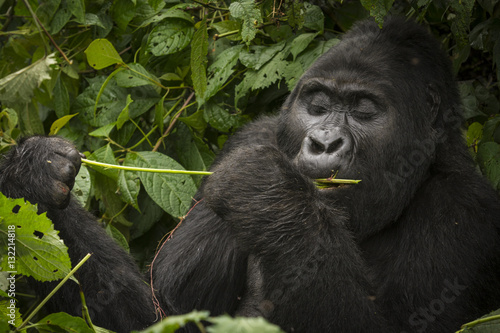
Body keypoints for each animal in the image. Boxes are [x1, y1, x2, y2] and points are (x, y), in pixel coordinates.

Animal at [0, 17, 500, 332]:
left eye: (363, 110)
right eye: (317, 105)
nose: (322, 142)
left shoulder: (463, 211)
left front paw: (269, 195)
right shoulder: (251, 137)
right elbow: (158, 318)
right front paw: (31, 175)